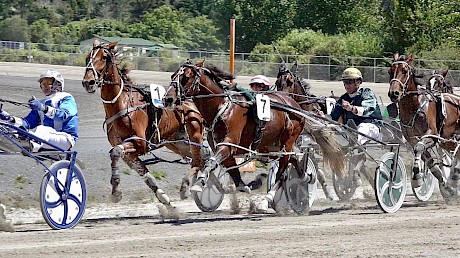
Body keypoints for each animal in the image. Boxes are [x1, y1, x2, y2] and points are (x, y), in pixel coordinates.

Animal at [82, 39, 205, 206]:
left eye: (104, 57)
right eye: (88, 57)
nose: (88, 82)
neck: (122, 104)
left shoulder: (140, 143)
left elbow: (116, 152)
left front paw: (116, 190)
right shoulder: (127, 151)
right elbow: (141, 172)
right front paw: (165, 201)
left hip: (195, 136)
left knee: (200, 161)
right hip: (177, 143)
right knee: (200, 160)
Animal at [164, 60, 344, 212]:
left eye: (186, 77)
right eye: (173, 76)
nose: (168, 99)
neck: (223, 107)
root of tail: (295, 106)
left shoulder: (228, 144)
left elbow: (211, 162)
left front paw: (199, 183)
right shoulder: (224, 148)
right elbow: (233, 175)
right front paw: (247, 185)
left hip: (287, 141)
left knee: (282, 172)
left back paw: (267, 200)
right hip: (271, 146)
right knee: (294, 161)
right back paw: (306, 176)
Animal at [386, 53, 458, 197]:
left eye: (404, 71)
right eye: (390, 71)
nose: (394, 93)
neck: (414, 107)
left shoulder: (432, 135)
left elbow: (419, 149)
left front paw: (417, 178)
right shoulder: (413, 139)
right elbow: (429, 161)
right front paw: (445, 185)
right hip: (447, 141)